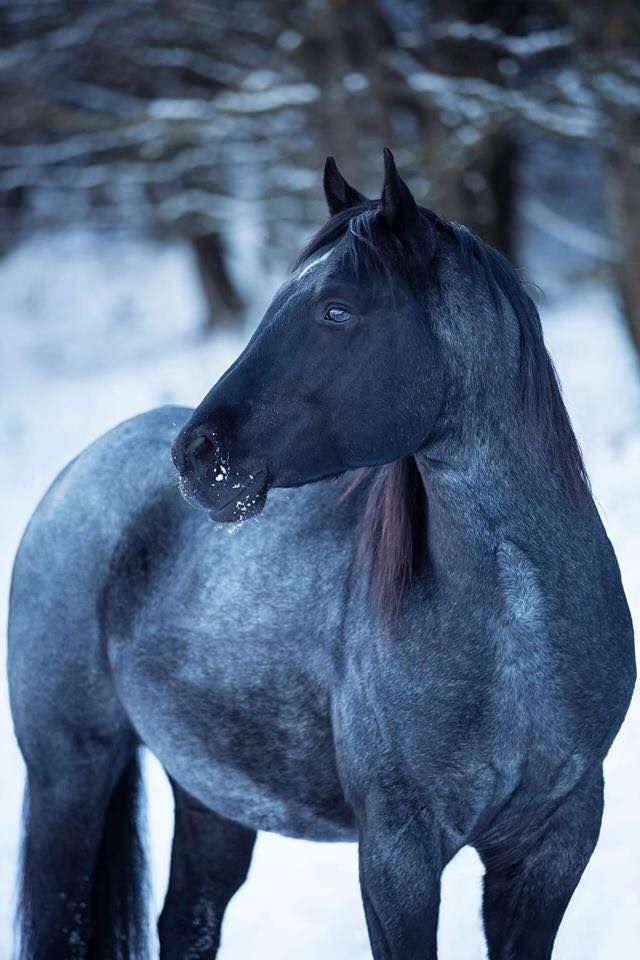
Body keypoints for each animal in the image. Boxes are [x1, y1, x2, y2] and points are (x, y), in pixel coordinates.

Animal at [8, 150, 636, 960]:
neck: (517, 638)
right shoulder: (398, 854)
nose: (198, 456)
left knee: (186, 922)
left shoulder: (552, 846)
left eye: (336, 310)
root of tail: (84, 467)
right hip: (69, 775)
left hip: (211, 794)